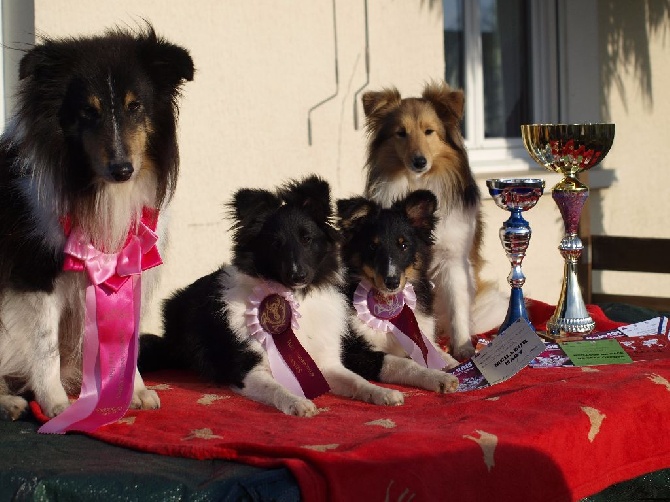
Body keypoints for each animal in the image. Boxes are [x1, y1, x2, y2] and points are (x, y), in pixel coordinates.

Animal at [140, 176, 404, 416]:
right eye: (276, 244)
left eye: (307, 239)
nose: (298, 275)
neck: (295, 299)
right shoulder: (249, 370)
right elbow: (277, 388)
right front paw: (297, 403)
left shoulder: (327, 364)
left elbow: (357, 381)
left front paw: (382, 392)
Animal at [336, 190, 462, 394]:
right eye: (372, 246)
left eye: (403, 245)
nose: (392, 282)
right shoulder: (353, 353)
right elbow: (402, 363)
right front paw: (439, 378)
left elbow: (439, 354)